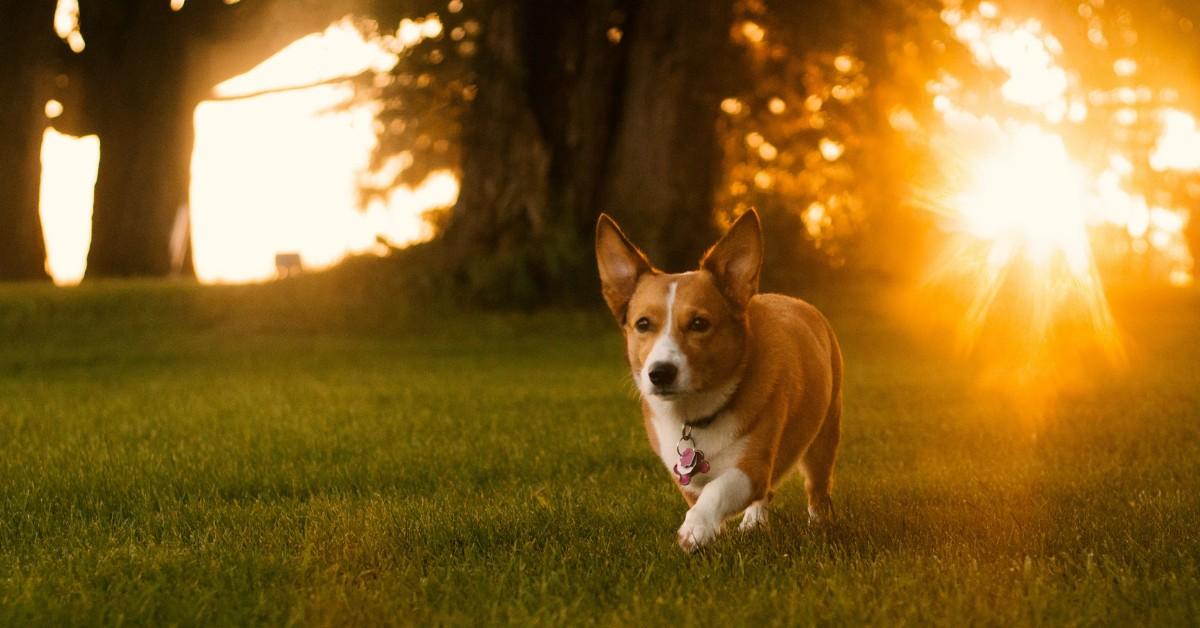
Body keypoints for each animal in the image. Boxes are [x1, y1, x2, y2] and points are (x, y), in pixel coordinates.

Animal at [592, 210, 840, 549]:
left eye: (699, 323)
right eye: (642, 324)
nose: (660, 373)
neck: (696, 415)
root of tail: (795, 301)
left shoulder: (751, 467)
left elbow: (718, 490)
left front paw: (696, 528)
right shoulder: (685, 475)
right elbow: (702, 492)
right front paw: (711, 529)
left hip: (824, 436)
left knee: (817, 487)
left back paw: (819, 525)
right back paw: (754, 522)